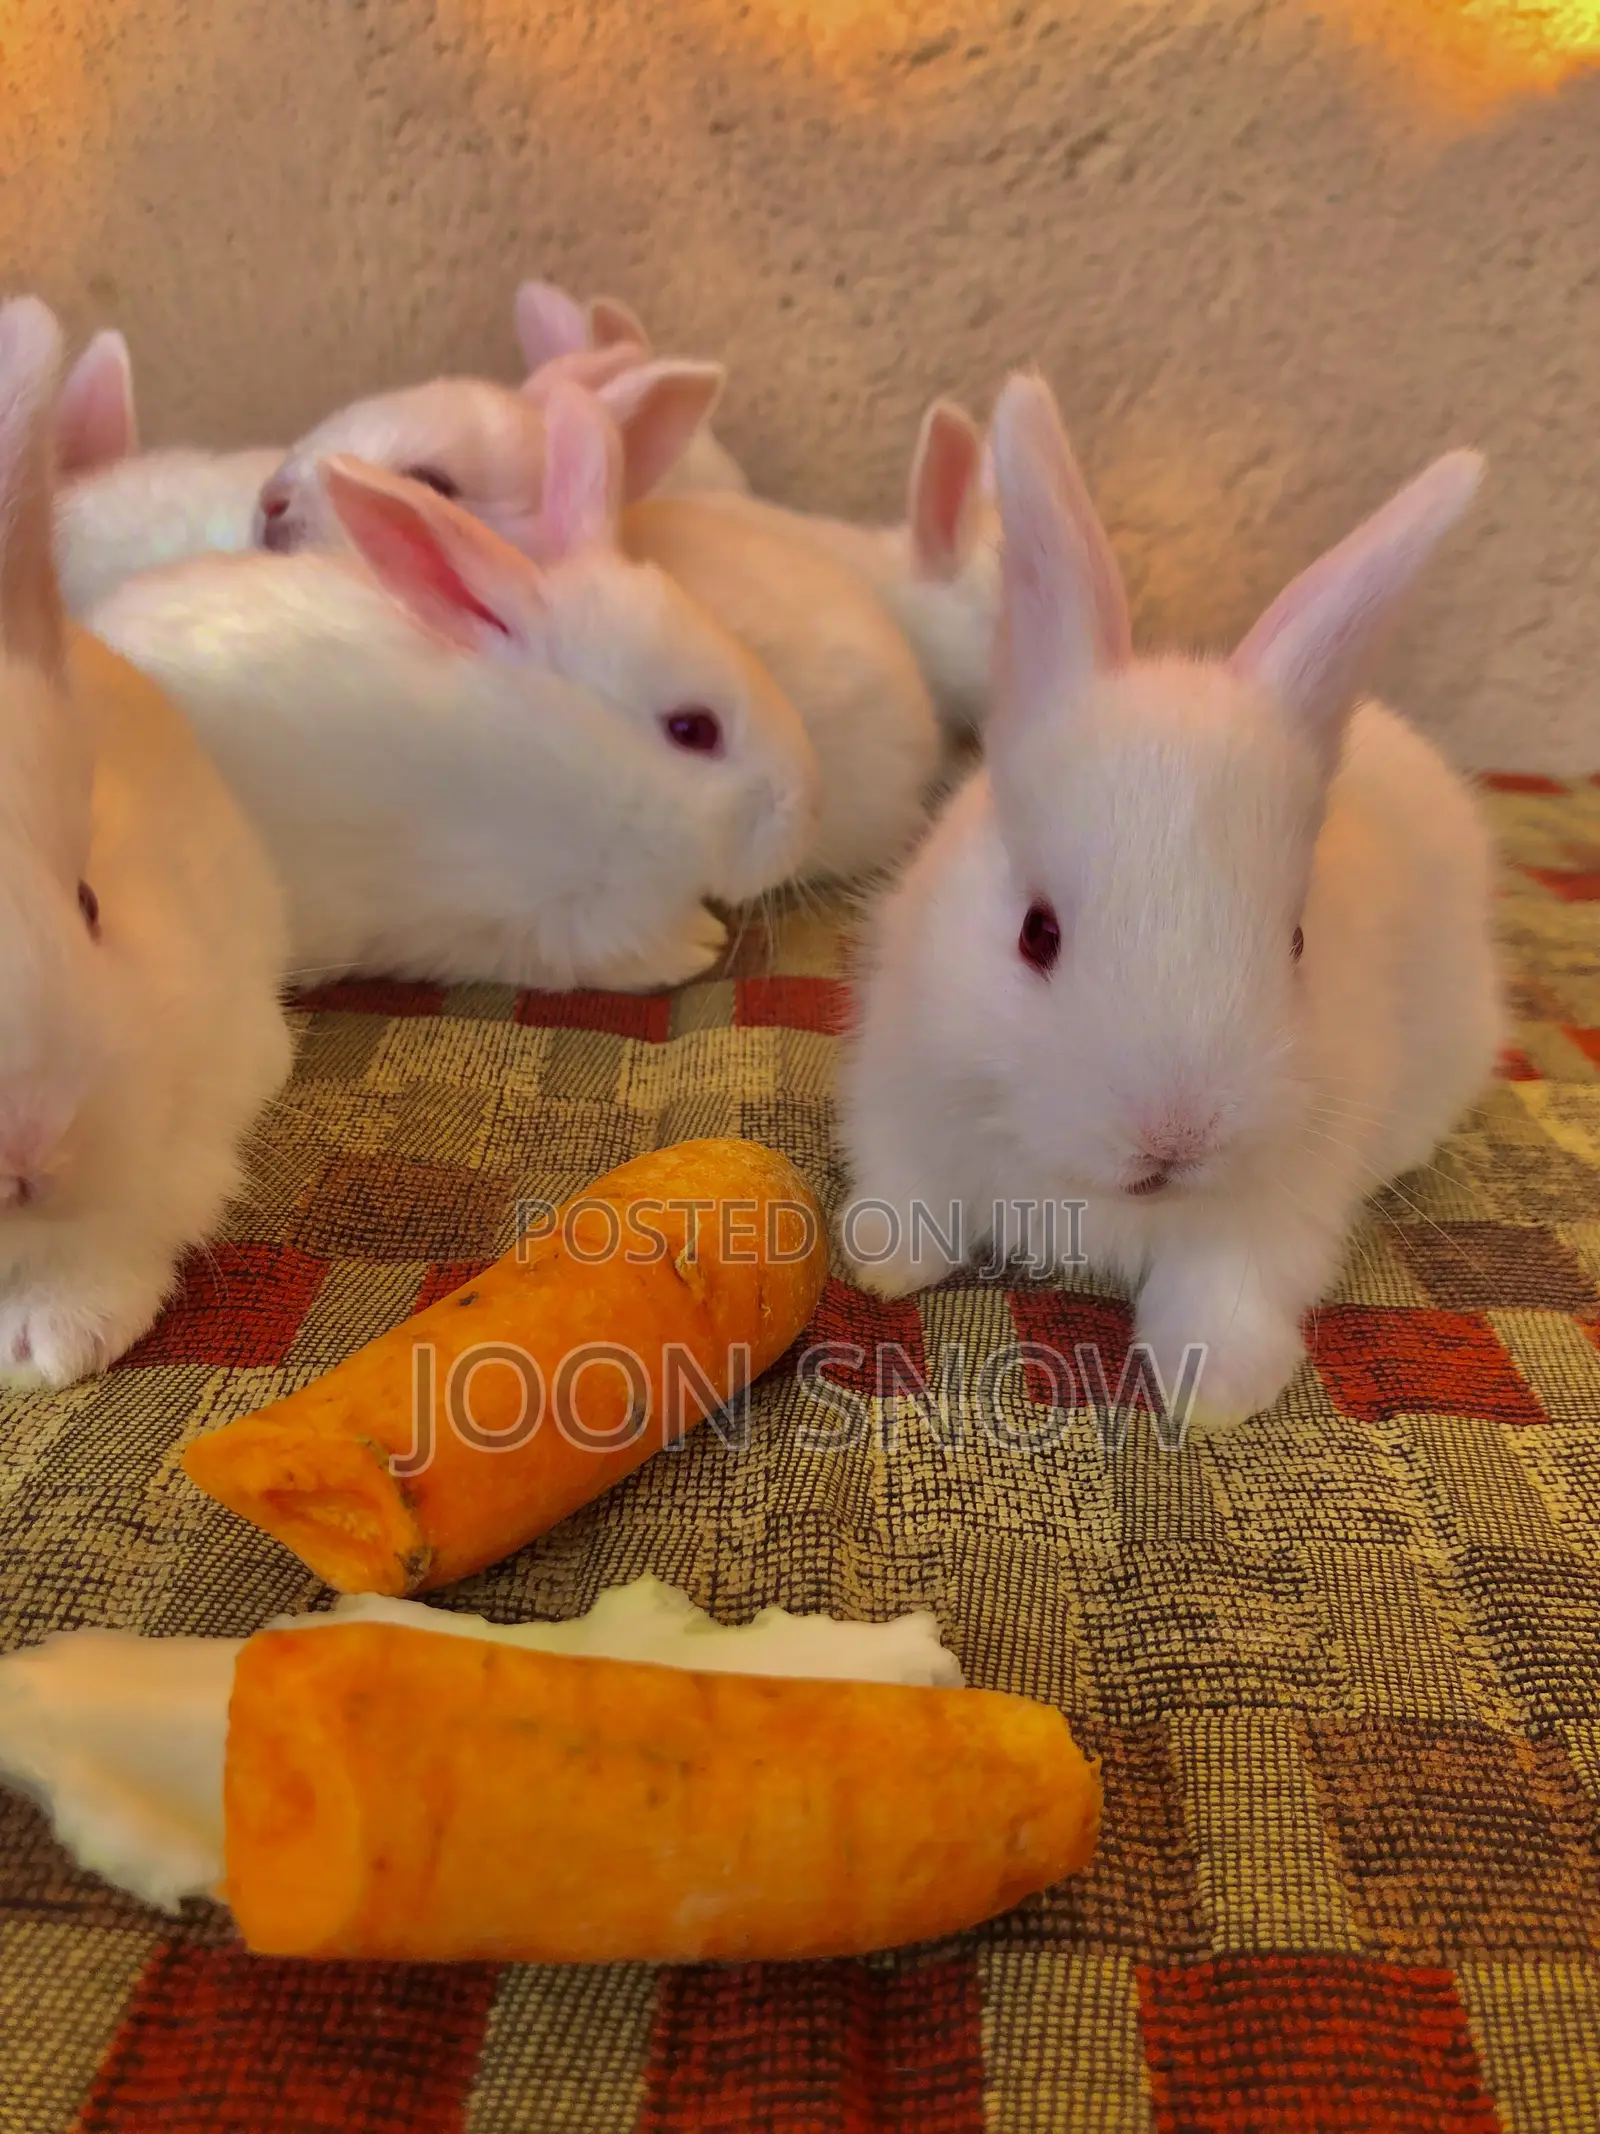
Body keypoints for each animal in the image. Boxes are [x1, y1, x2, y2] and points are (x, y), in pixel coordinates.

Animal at [839, 370, 1500, 1436]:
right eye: (1036, 934)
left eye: (1296, 942)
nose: (1175, 1139)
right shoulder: (904, 1089)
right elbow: (905, 1190)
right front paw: (881, 1266)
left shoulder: (1276, 1205)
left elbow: (1226, 1293)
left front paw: (1215, 1391)